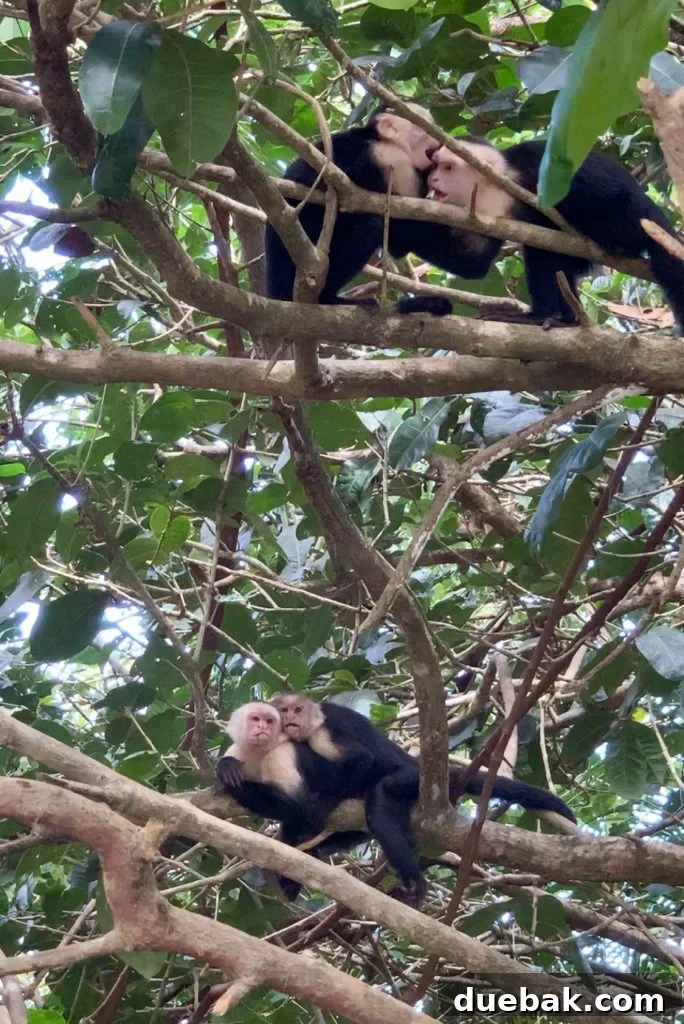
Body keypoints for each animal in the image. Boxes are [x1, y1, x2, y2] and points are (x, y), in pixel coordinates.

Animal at [265, 105, 450, 315]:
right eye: (425, 126)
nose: (440, 136)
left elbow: (400, 243)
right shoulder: (385, 156)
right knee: (369, 224)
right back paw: (328, 298)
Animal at [390, 137, 684, 329]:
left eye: (447, 167)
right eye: (434, 167)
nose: (432, 180)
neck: (495, 186)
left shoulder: (530, 165)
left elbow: (599, 187)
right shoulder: (482, 208)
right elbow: (473, 262)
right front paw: (396, 229)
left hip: (631, 222)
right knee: (546, 256)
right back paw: (561, 318)